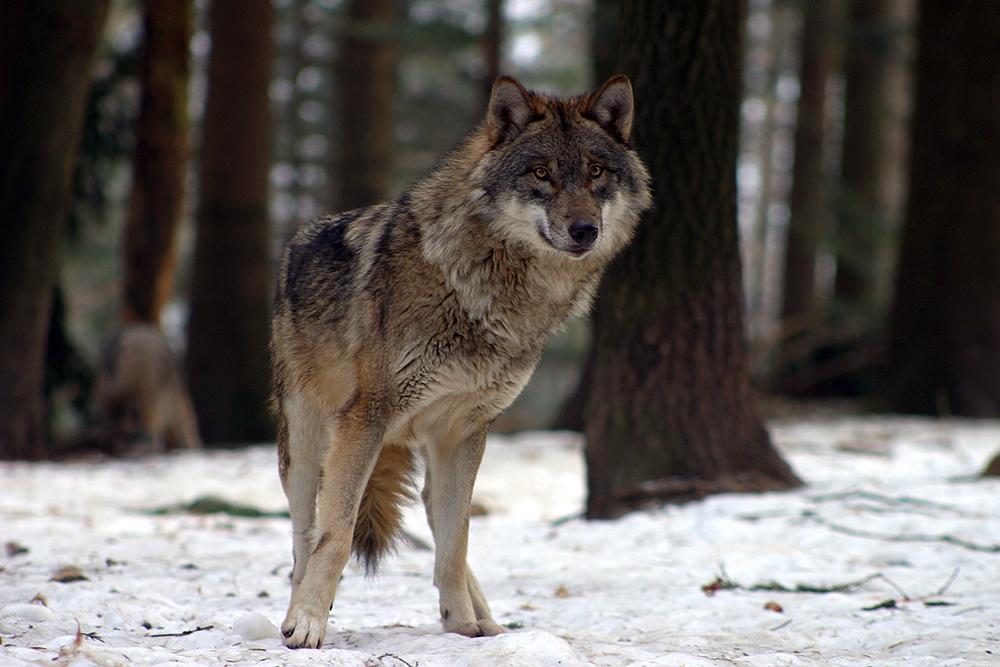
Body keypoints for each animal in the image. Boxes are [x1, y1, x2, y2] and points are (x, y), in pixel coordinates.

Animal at [270, 75, 652, 648]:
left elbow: (456, 544)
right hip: (306, 445)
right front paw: (309, 623)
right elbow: (334, 537)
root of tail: (294, 241)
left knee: (439, 517)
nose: (585, 229)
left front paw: (462, 624)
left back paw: (486, 617)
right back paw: (300, 606)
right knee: (303, 538)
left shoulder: (466, 430)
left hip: (431, 447)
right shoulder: (365, 419)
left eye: (595, 172)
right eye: (541, 173)